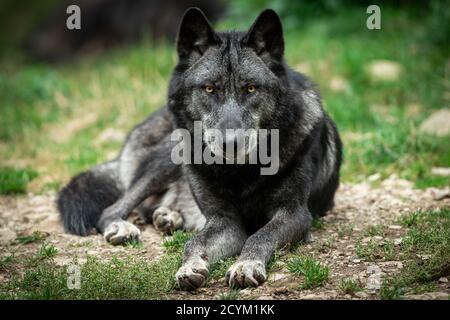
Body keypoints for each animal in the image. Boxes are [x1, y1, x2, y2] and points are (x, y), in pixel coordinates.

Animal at [58, 8, 342, 290]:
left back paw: (168, 217)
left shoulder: (295, 214)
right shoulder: (224, 221)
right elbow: (194, 243)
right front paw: (189, 266)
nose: (231, 143)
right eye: (209, 88)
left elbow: (261, 235)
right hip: (171, 156)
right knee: (114, 208)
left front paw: (246, 265)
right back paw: (123, 226)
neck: (240, 173)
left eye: (251, 88)